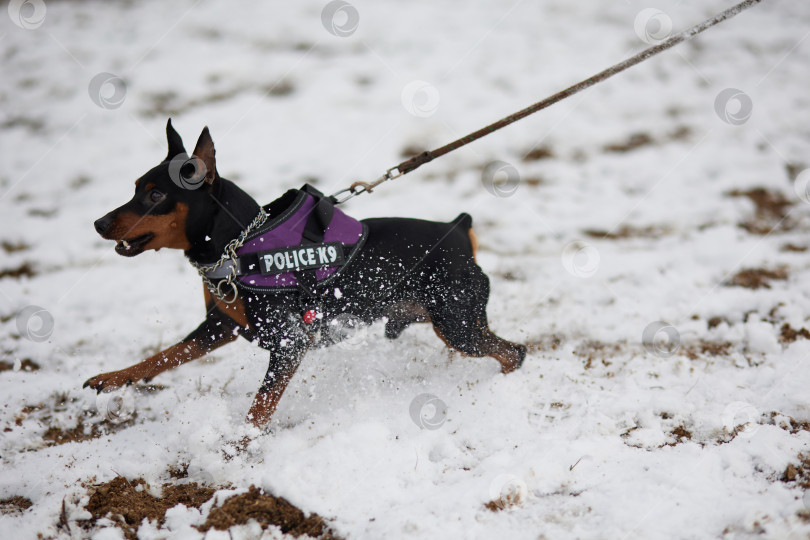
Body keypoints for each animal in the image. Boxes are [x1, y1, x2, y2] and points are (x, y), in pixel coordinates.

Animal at [87, 120, 524, 428]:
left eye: (156, 195)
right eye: (135, 187)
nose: (98, 223)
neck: (238, 246)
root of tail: (459, 229)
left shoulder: (290, 342)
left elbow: (260, 407)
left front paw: (237, 446)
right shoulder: (219, 326)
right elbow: (163, 356)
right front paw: (114, 377)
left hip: (456, 324)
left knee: (515, 353)